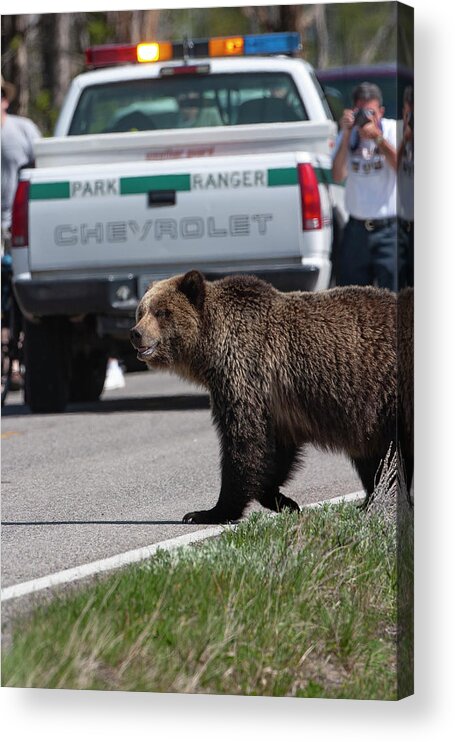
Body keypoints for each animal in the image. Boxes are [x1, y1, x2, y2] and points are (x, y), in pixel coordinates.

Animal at [129, 270, 414, 528]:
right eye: (141, 311)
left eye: (162, 312)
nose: (136, 333)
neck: (211, 349)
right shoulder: (274, 403)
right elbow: (275, 450)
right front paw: (284, 501)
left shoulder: (245, 375)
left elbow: (246, 443)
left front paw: (208, 512)